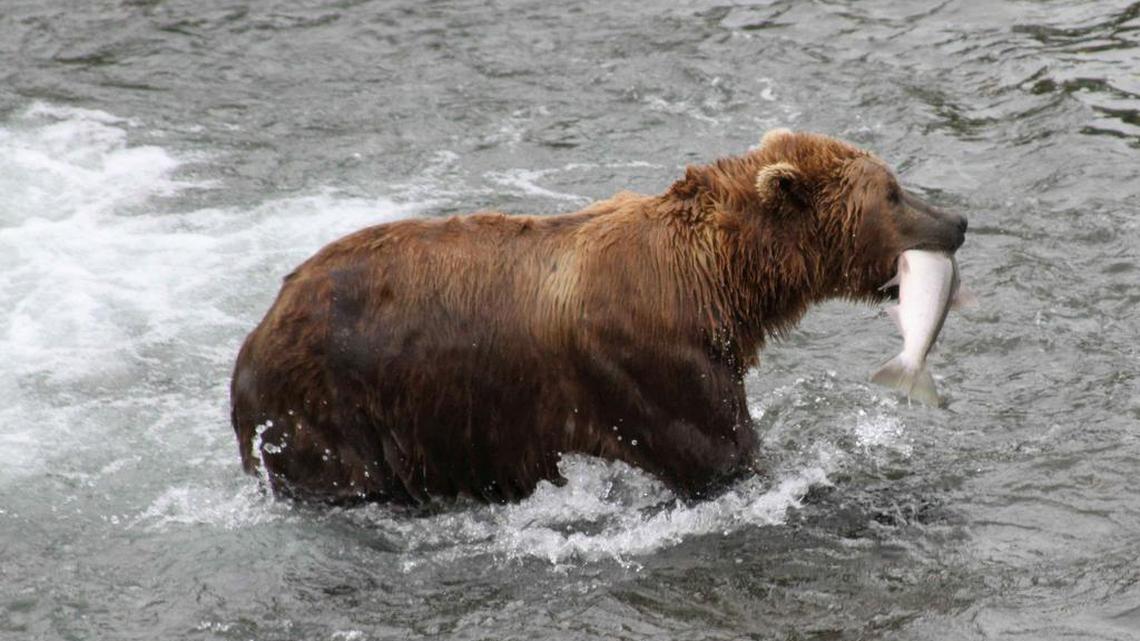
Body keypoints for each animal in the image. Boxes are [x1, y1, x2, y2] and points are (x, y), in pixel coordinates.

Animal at [230, 129, 967, 505]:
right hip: (330, 408)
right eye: (892, 191)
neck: (720, 281)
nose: (957, 221)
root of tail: (256, 330)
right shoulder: (650, 364)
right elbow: (722, 455)